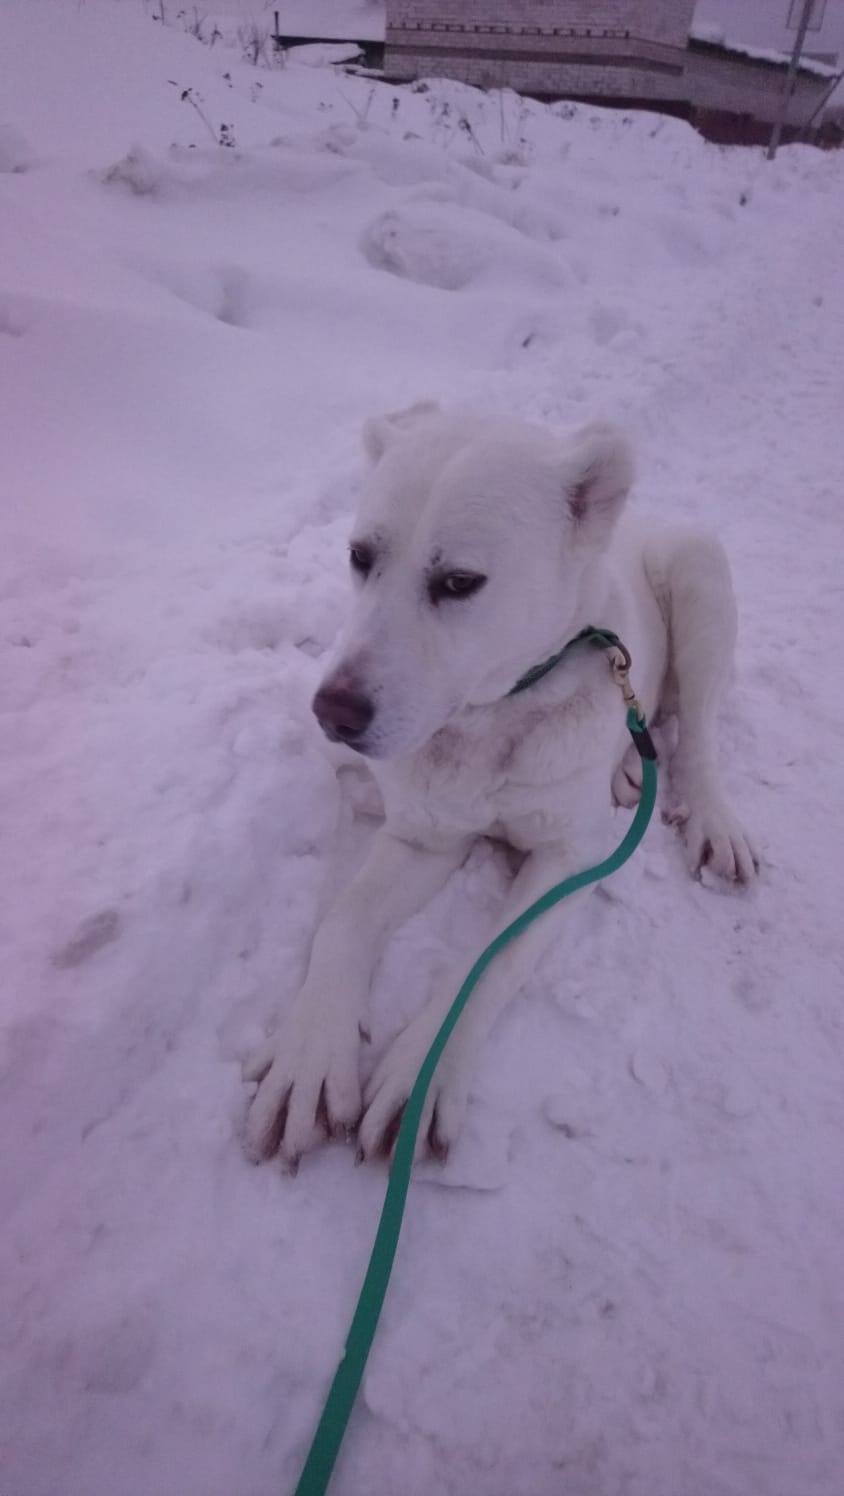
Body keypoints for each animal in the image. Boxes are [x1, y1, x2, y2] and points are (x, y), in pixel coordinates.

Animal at [244, 402, 756, 1169]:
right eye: (361, 556)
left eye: (459, 582)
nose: (331, 711)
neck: (491, 724)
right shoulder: (423, 835)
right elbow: (343, 920)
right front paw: (310, 1054)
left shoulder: (571, 859)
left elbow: (488, 960)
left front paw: (418, 1074)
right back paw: (628, 765)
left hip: (699, 576)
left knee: (696, 731)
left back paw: (713, 819)